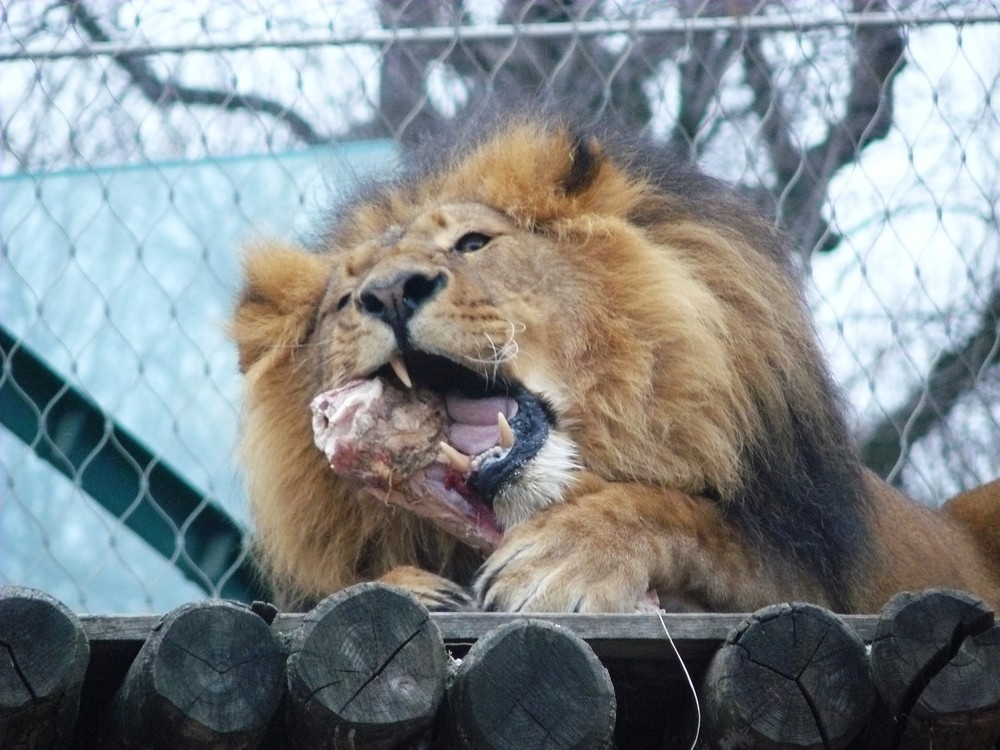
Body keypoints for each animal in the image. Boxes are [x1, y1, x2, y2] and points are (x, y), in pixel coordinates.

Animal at [232, 114, 1000, 612]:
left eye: (474, 243)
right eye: (344, 299)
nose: (389, 292)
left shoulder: (818, 570)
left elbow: (697, 522)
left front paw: (566, 555)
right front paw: (408, 586)